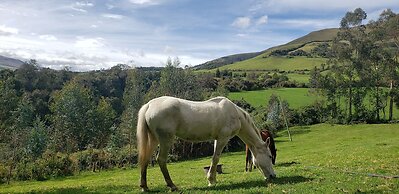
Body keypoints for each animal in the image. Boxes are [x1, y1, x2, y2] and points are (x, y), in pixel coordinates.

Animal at [136, 96, 276, 192]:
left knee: (145, 159)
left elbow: (214, 158)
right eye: (270, 156)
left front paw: (213, 179)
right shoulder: (223, 138)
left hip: (154, 139)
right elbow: (215, 158)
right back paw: (172, 186)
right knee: (161, 159)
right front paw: (211, 181)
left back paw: (144, 187)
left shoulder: (217, 139)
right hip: (165, 139)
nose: (273, 176)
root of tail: (149, 105)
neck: (236, 114)